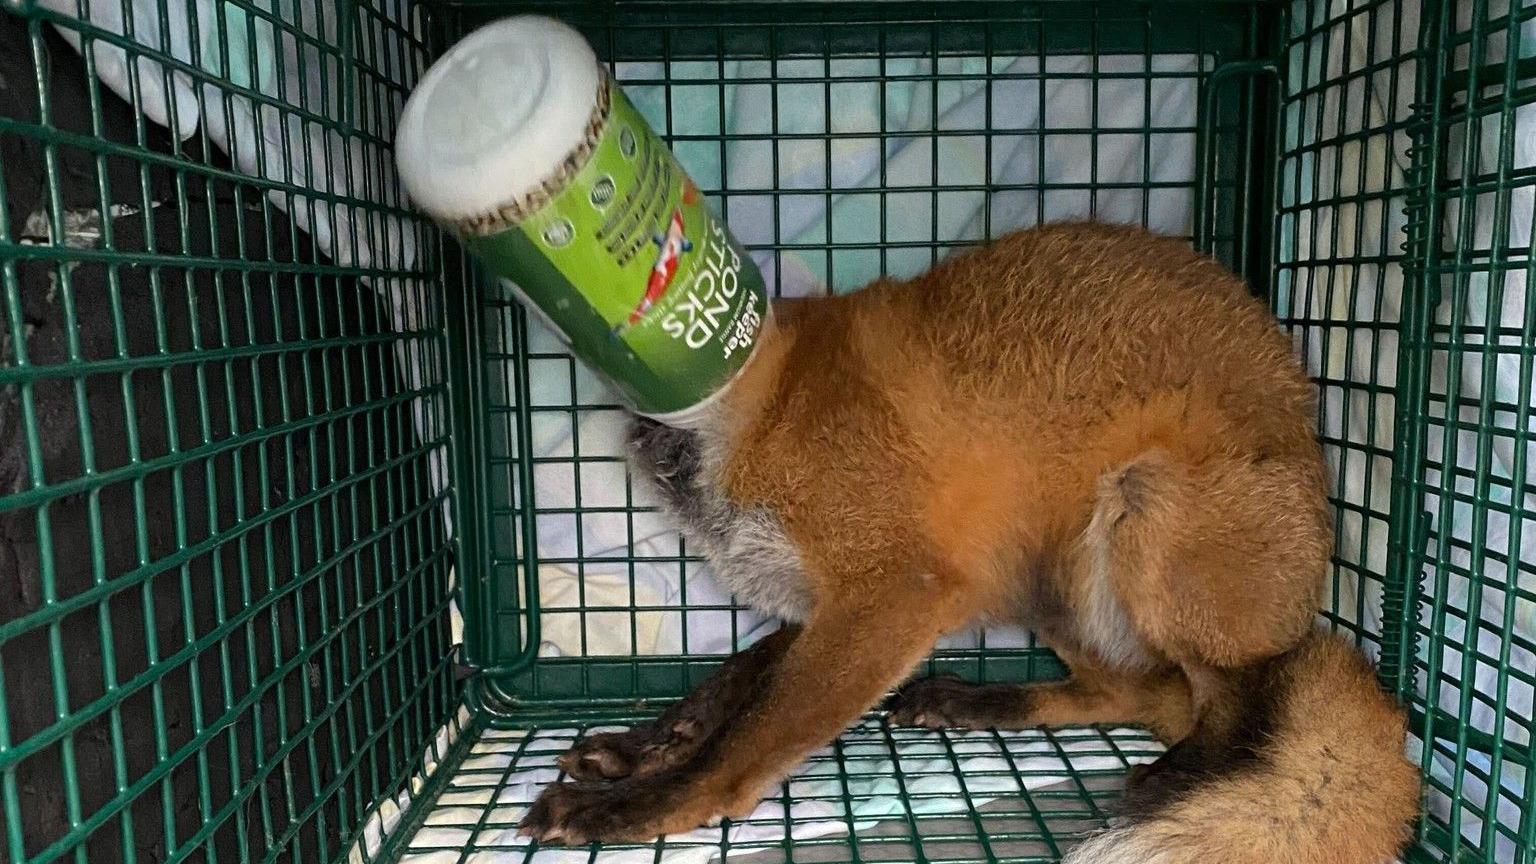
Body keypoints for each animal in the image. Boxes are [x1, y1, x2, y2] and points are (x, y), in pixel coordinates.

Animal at [516, 218, 1413, 854]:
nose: (643, 435)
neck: (761, 413)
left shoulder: (893, 591)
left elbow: (743, 741)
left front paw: (639, 806)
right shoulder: (822, 604)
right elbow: (722, 693)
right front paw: (644, 748)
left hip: (1142, 517)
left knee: (1218, 702)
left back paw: (1182, 778)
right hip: (1050, 579)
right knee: (1127, 692)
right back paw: (979, 703)